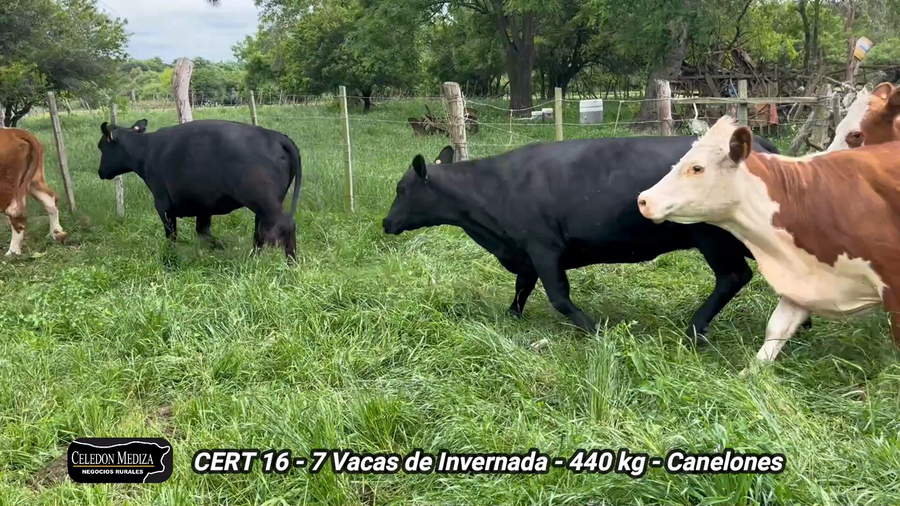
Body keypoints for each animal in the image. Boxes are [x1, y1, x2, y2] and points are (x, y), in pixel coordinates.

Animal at [97, 119, 302, 259]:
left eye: (101, 147)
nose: (100, 171)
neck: (145, 150)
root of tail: (276, 136)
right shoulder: (204, 205)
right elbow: (203, 232)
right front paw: (219, 246)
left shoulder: (162, 204)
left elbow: (171, 235)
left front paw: (170, 258)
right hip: (265, 204)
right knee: (260, 232)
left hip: (264, 201)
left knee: (285, 226)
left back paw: (290, 265)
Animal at [383, 136, 789, 338]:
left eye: (401, 190)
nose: (385, 222)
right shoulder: (526, 252)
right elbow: (521, 289)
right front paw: (511, 317)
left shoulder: (543, 248)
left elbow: (559, 297)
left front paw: (595, 331)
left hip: (713, 238)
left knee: (733, 276)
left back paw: (694, 328)